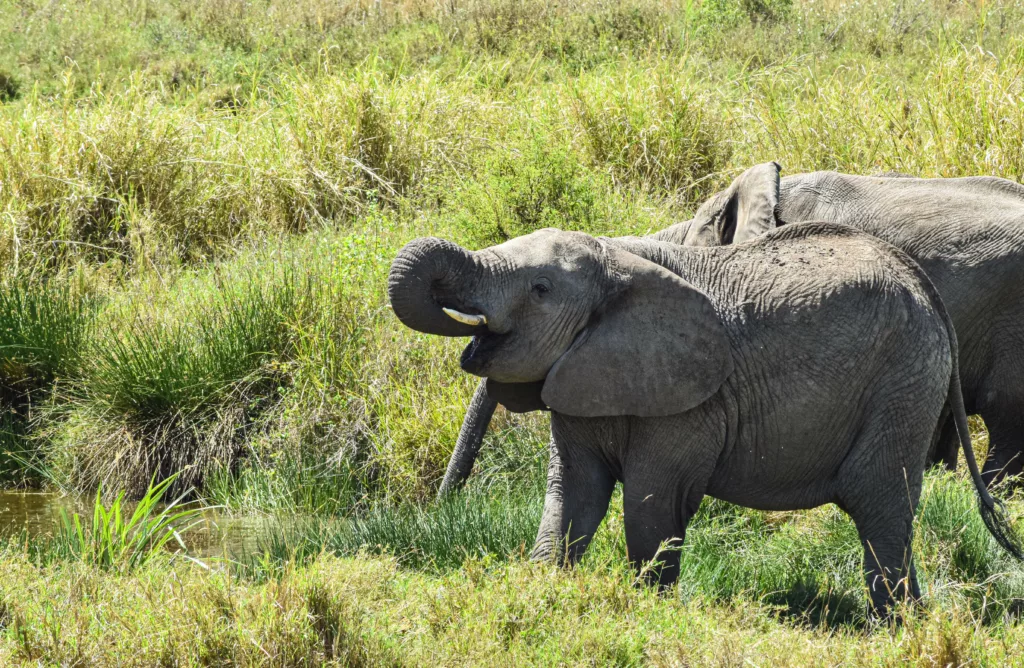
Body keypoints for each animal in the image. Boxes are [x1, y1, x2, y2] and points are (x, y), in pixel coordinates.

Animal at [387, 223, 1019, 610]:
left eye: (540, 289)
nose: (438, 513)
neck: (616, 258)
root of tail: (924, 285)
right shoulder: (584, 374)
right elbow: (573, 495)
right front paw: (545, 592)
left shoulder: (690, 398)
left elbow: (651, 502)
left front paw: (644, 610)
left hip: (902, 382)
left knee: (881, 507)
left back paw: (895, 628)